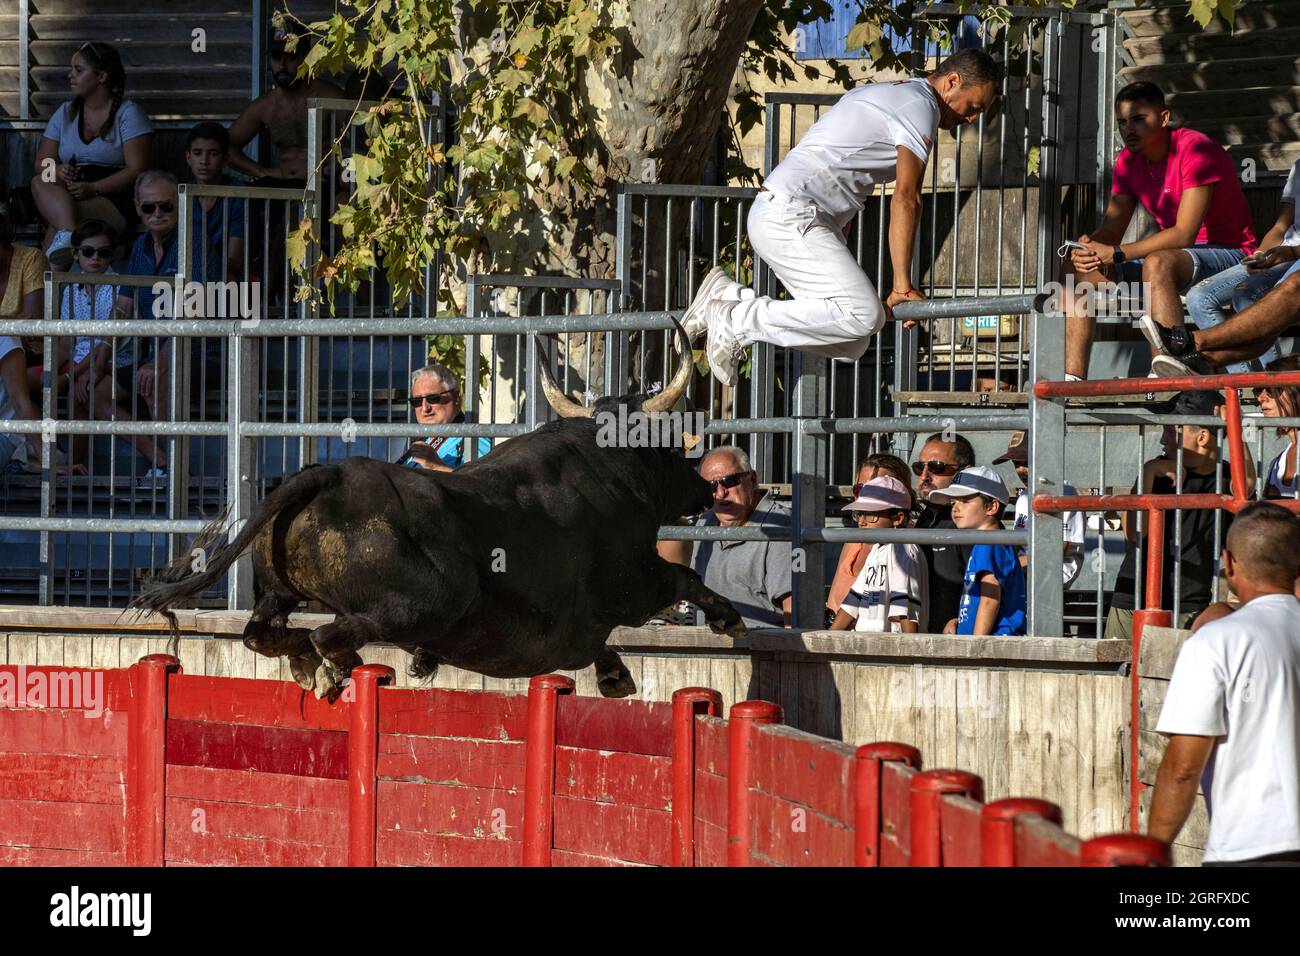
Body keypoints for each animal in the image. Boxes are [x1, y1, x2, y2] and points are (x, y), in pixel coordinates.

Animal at [134, 332, 743, 697]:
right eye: (668, 445)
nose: (702, 489)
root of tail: (332, 473)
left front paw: (613, 671)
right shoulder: (634, 582)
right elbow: (683, 577)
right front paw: (727, 618)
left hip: (280, 592)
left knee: (262, 632)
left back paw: (311, 668)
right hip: (424, 602)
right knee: (332, 633)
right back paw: (340, 670)